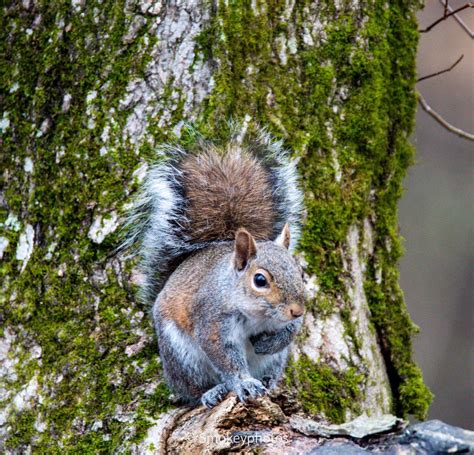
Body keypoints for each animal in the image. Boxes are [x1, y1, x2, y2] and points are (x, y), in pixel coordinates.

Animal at [122, 129, 306, 410]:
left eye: (300, 272)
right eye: (260, 280)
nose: (297, 310)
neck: (256, 314)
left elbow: (289, 333)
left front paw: (268, 343)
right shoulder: (212, 321)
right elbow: (226, 359)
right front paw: (244, 383)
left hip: (274, 362)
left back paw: (269, 381)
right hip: (182, 357)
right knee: (192, 391)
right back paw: (212, 391)